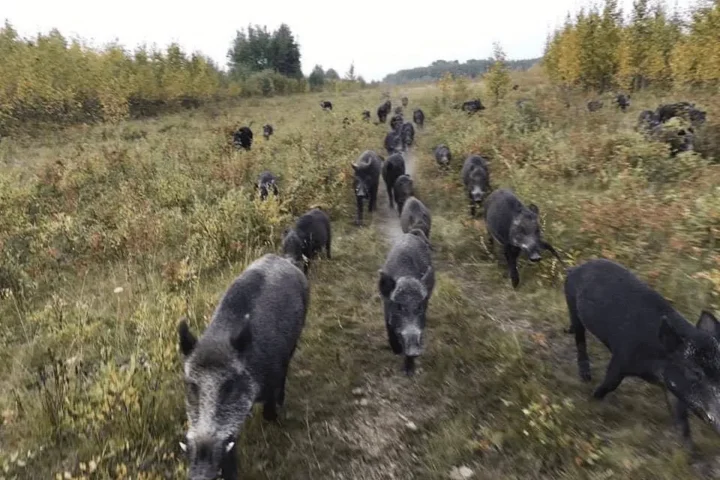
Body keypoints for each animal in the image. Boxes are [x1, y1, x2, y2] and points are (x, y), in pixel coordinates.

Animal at [177, 253, 309, 480]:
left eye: (230, 385)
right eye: (191, 385)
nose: (201, 473)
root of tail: (284, 259)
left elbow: (269, 409)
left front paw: (273, 419)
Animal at [378, 230, 435, 375]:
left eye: (420, 307)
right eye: (399, 307)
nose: (414, 350)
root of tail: (411, 234)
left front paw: (409, 373)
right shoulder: (386, 310)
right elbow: (390, 330)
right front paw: (396, 351)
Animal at [564, 258, 720, 449]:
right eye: (695, 372)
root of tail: (576, 267)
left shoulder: (672, 387)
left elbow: (681, 418)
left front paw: (689, 451)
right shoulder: (621, 358)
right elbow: (610, 383)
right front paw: (593, 400)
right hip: (572, 306)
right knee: (580, 339)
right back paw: (585, 376)